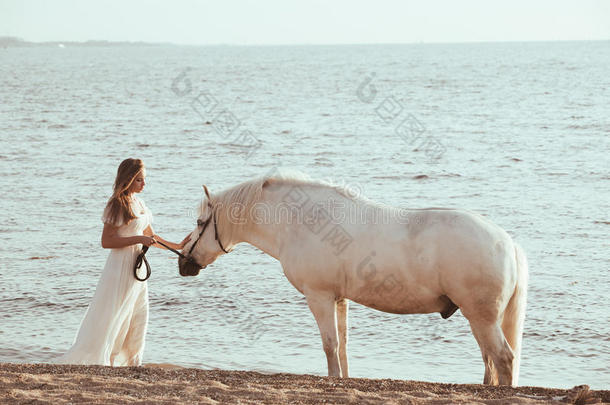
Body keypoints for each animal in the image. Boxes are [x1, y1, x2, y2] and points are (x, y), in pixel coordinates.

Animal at [177, 173, 528, 386]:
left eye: (200, 222)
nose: (183, 263)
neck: (302, 223)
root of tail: (507, 243)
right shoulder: (339, 299)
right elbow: (343, 345)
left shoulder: (319, 297)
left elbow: (330, 344)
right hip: (479, 319)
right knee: (492, 362)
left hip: (482, 318)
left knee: (504, 358)